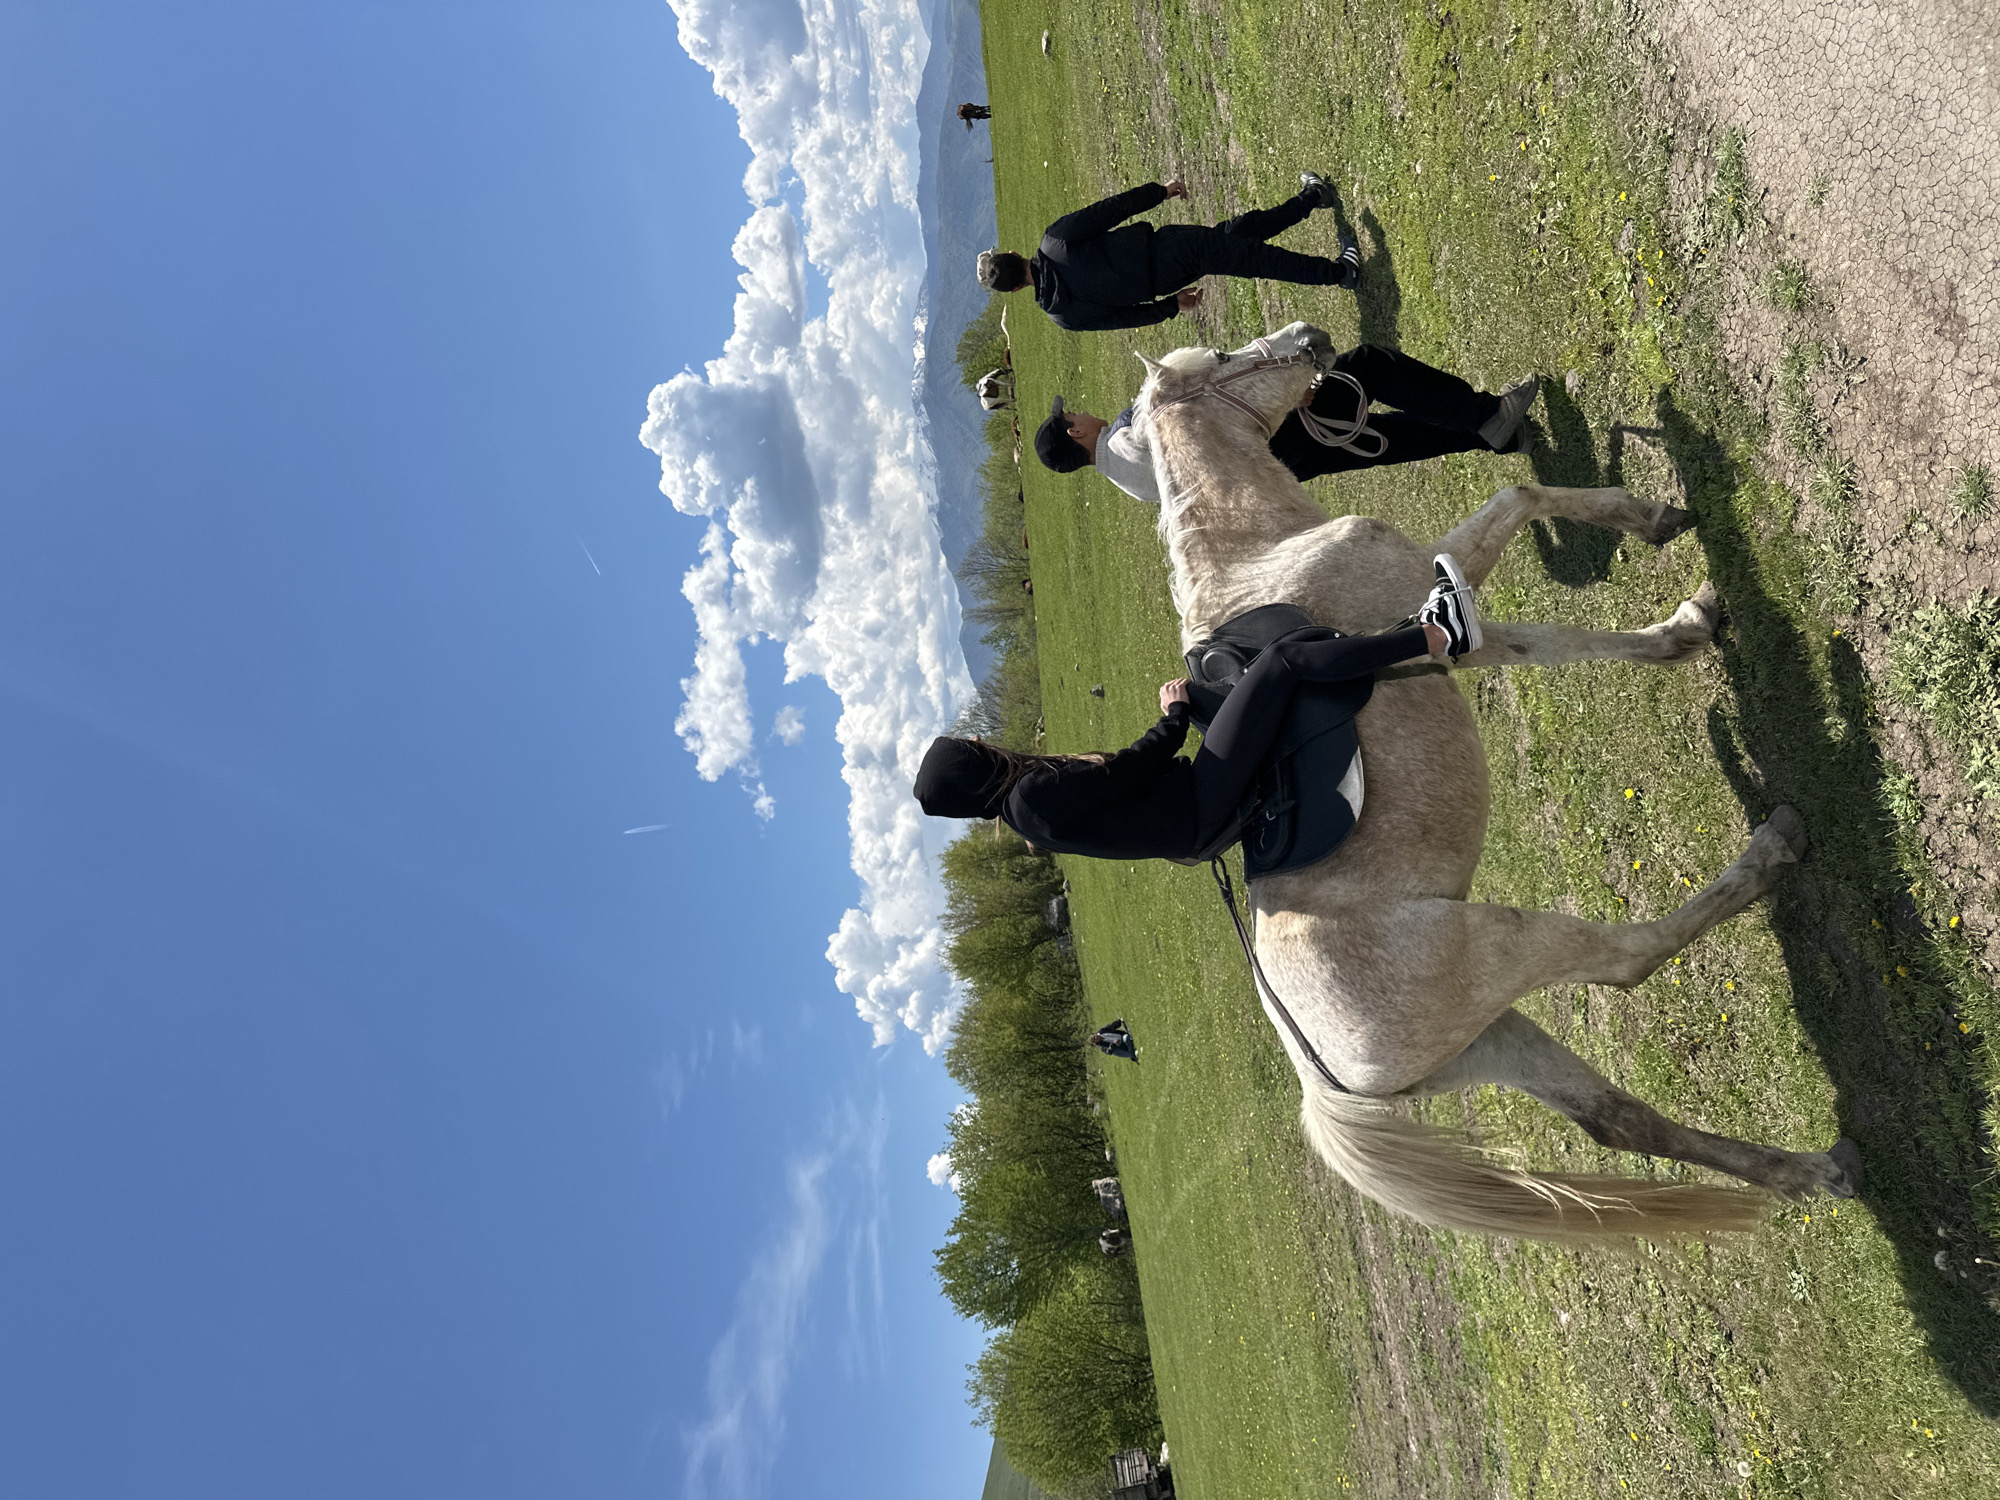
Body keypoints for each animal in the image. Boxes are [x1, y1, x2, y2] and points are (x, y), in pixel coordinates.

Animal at [1128, 321, 1857, 1243]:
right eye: (1227, 361)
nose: (1313, 337)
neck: (1259, 555)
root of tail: (1319, 1070)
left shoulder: (1461, 632)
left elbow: (1555, 639)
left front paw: (1684, 627)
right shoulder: (1438, 591)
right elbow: (1519, 496)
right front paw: (1650, 520)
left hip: (1487, 1031)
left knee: (1617, 1119)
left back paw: (1813, 1172)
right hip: (1505, 946)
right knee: (1626, 960)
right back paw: (1771, 851)